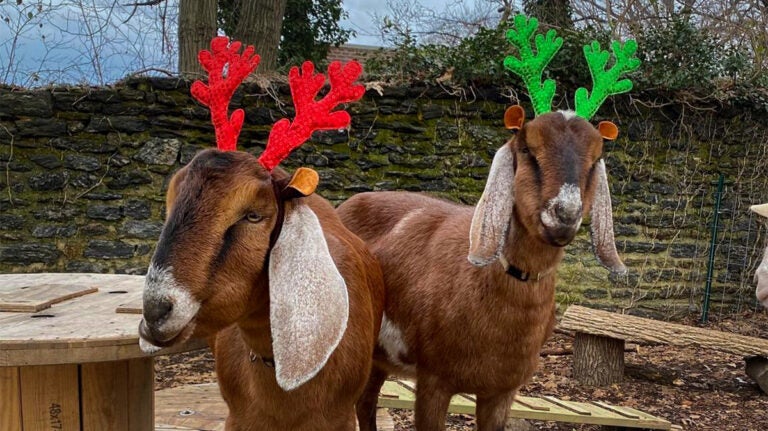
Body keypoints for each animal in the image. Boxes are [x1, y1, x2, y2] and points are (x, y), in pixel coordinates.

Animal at [340, 14, 640, 431]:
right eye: (528, 149)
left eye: (596, 158)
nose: (564, 214)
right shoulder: (434, 378)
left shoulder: (503, 388)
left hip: (378, 355)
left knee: (366, 403)